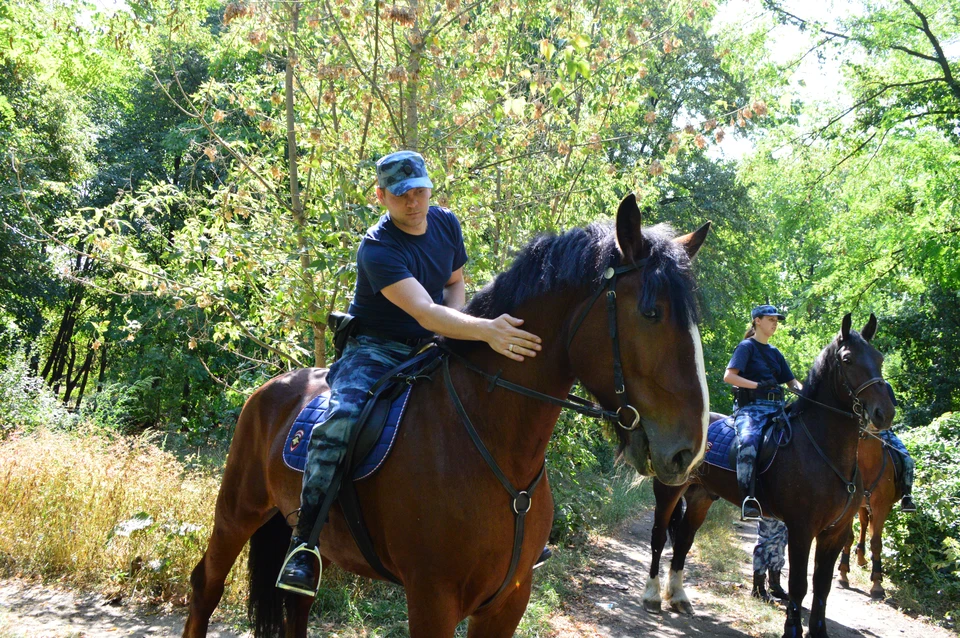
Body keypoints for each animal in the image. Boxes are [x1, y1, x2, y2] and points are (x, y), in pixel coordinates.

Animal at [182, 195, 712, 638]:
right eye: (651, 312)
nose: (689, 450)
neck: (494, 444)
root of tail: (272, 387)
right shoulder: (432, 599)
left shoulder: (507, 602)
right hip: (237, 511)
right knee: (206, 585)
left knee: (296, 604)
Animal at [840, 432, 900, 596]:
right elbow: (848, 537)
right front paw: (843, 574)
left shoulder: (882, 507)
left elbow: (876, 543)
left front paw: (877, 583)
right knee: (864, 522)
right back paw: (861, 557)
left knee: (869, 526)